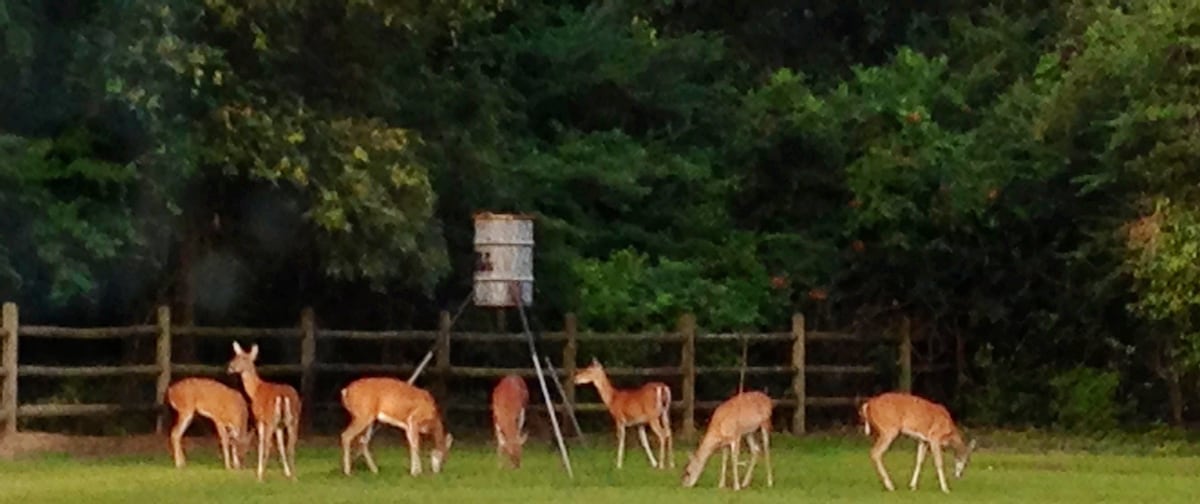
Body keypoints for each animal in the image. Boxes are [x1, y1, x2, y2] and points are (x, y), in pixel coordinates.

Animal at [225, 343, 300, 480]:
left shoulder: (259, 419)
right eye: (235, 356)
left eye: (243, 357)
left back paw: (261, 477)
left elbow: (260, 443)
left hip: (271, 420)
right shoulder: (279, 425)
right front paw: (287, 473)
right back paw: (294, 477)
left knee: (268, 444)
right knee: (291, 445)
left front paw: (258, 472)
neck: (255, 390)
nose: (230, 367)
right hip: (294, 419)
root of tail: (282, 395)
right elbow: (281, 446)